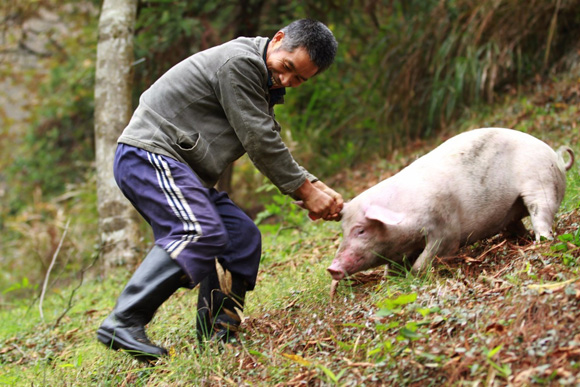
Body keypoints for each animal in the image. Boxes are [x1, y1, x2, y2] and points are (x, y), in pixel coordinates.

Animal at [328, 129, 572, 280]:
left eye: (360, 230)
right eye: (343, 230)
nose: (332, 268)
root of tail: (557, 158)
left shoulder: (445, 228)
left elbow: (426, 259)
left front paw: (416, 274)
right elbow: (392, 267)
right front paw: (389, 280)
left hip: (541, 184)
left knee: (541, 216)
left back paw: (540, 242)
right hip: (511, 212)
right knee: (515, 225)